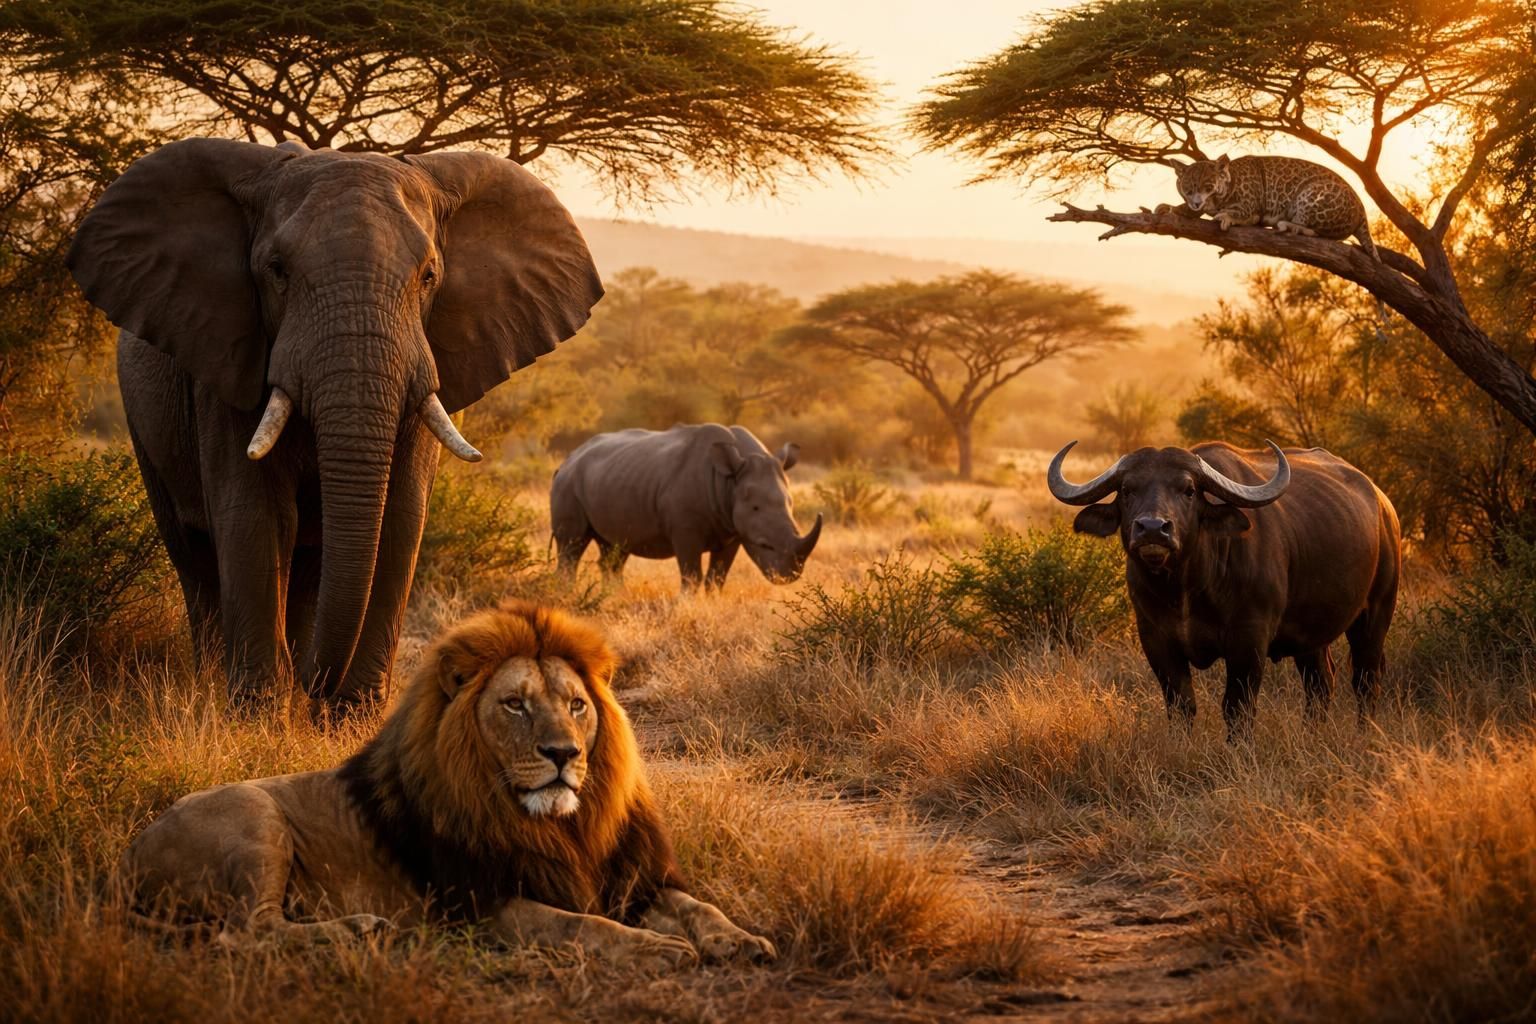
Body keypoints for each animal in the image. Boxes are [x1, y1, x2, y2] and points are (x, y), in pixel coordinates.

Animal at [122, 601, 776, 969]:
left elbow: (697, 905)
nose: (563, 754)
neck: (560, 827)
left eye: (577, 705)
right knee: (244, 934)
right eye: (515, 705)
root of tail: (131, 853)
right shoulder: (483, 905)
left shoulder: (631, 877)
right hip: (254, 813)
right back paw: (360, 930)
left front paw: (742, 939)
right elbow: (582, 924)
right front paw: (655, 950)